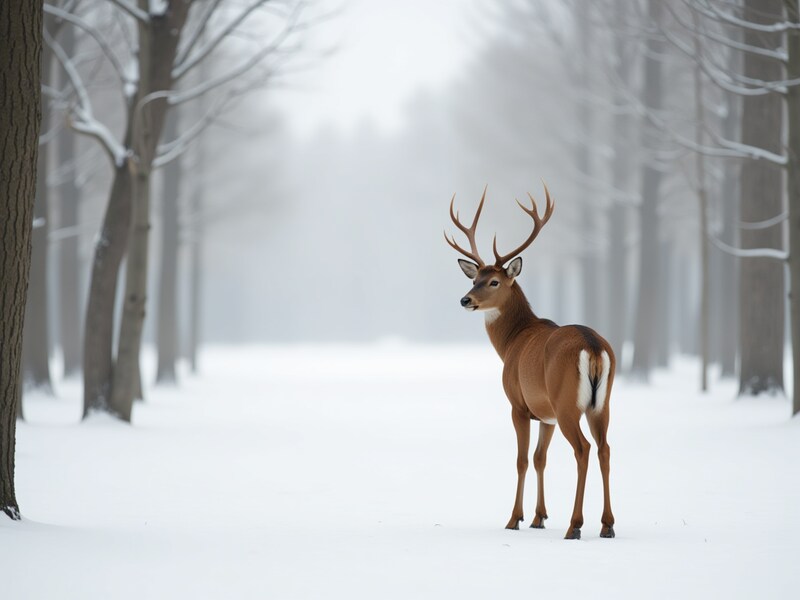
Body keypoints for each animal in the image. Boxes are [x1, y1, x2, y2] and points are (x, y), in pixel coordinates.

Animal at [444, 185, 615, 540]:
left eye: (494, 281)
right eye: (474, 278)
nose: (465, 300)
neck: (512, 341)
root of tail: (593, 346)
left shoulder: (518, 404)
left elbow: (522, 459)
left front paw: (514, 518)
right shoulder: (544, 414)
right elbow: (540, 458)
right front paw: (539, 516)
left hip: (567, 403)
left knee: (583, 449)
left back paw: (575, 525)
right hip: (601, 403)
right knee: (605, 448)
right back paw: (607, 524)